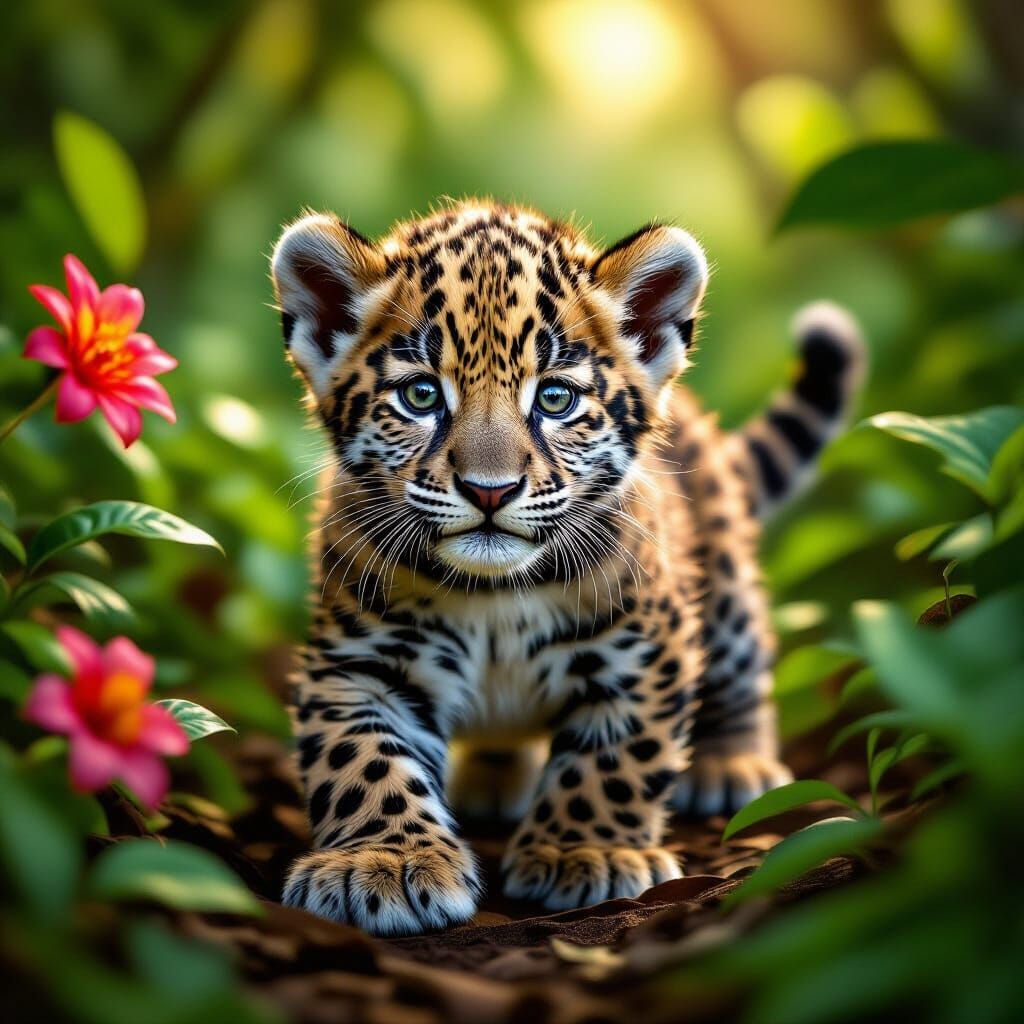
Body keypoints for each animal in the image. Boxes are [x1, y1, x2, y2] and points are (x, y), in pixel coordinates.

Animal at [269, 200, 865, 937]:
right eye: (420, 397)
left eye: (554, 400)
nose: (489, 490)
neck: (493, 598)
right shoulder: (358, 663)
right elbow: (362, 760)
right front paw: (382, 860)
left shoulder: (643, 654)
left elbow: (615, 761)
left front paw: (585, 852)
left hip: (723, 581)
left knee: (743, 661)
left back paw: (733, 763)